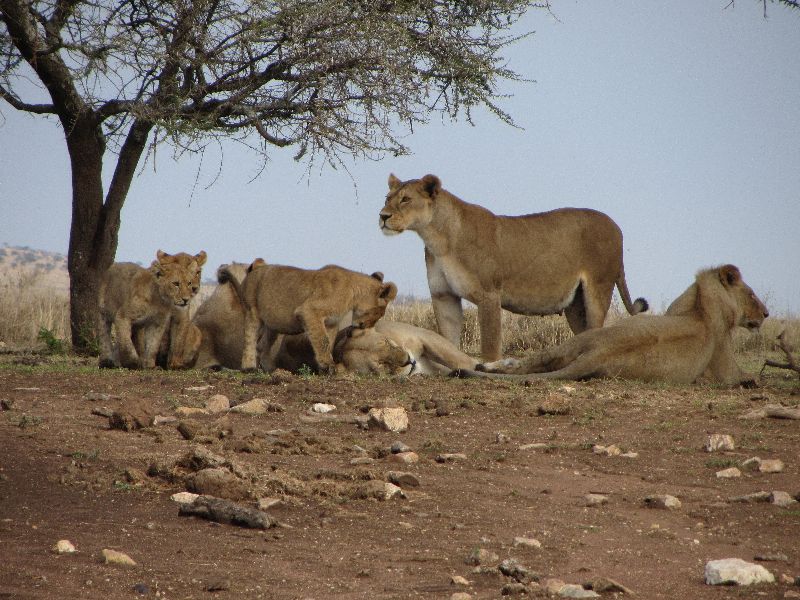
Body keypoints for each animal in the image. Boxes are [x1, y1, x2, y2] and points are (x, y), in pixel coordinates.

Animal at [229, 262, 398, 373]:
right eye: (379, 312)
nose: (364, 326)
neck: (353, 292)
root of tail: (253, 270)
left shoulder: (331, 323)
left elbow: (328, 342)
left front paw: (323, 367)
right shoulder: (309, 311)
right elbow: (322, 341)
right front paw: (329, 366)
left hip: (273, 325)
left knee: (263, 345)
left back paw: (270, 369)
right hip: (252, 312)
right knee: (249, 339)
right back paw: (248, 367)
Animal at [379, 174, 648, 361]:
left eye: (405, 199)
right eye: (387, 199)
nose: (382, 216)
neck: (437, 238)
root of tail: (616, 226)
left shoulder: (489, 294)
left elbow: (490, 342)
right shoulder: (443, 295)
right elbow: (447, 337)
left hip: (598, 288)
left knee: (596, 329)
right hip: (575, 303)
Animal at [456, 265, 767, 386]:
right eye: (752, 294)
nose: (765, 314)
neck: (702, 304)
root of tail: (600, 353)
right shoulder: (724, 365)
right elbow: (745, 376)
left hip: (570, 346)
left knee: (527, 365)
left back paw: (484, 366)